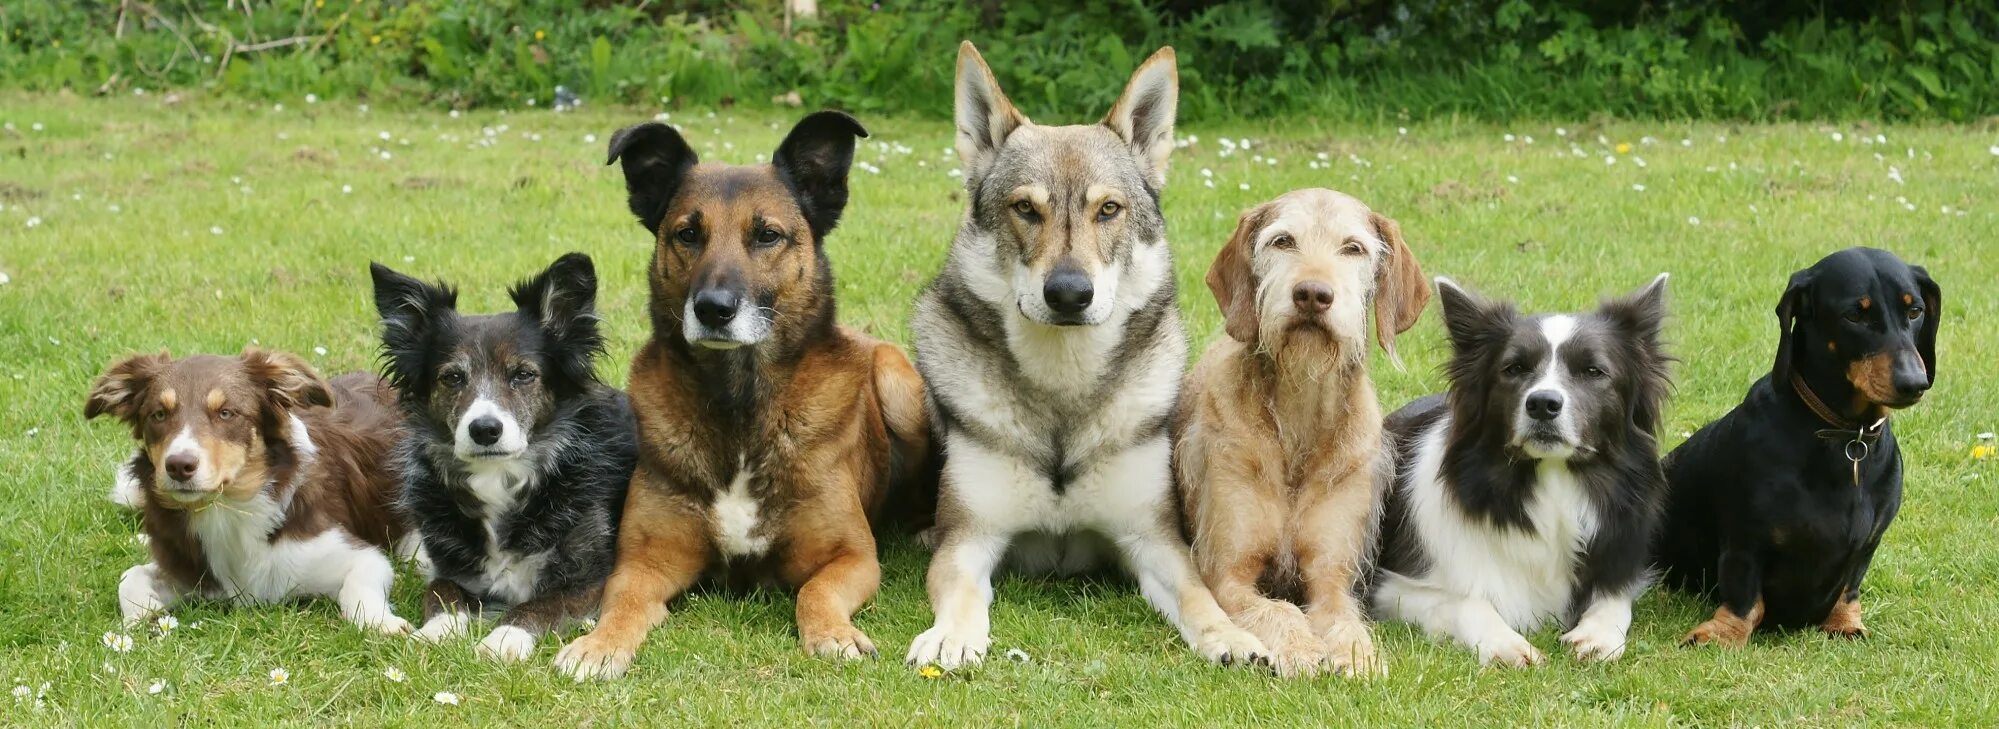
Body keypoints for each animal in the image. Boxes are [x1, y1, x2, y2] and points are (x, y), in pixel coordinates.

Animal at [85, 345, 413, 631]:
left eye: (226, 413)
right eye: (159, 414)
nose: (178, 466)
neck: (227, 509)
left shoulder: (359, 555)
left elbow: (358, 590)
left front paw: (383, 624)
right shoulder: (192, 571)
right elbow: (130, 578)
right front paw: (140, 619)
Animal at [543, 110, 923, 679]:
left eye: (767, 235)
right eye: (687, 234)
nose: (713, 308)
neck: (741, 404)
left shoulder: (852, 557)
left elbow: (815, 592)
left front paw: (833, 634)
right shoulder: (643, 563)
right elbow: (623, 603)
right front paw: (598, 645)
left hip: (897, 385)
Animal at [907, 38, 1263, 663]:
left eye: (1108, 210)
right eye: (1026, 209)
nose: (1070, 293)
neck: (1062, 387)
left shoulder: (1154, 541)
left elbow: (1199, 597)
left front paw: (1233, 636)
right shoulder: (970, 539)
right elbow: (962, 595)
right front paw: (951, 637)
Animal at [1175, 188, 1431, 675]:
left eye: (1353, 248)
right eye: (1283, 241)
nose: (1312, 294)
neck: (1298, 418)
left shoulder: (1331, 577)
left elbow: (1343, 618)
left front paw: (1358, 657)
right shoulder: (1229, 575)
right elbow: (1279, 609)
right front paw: (1299, 648)